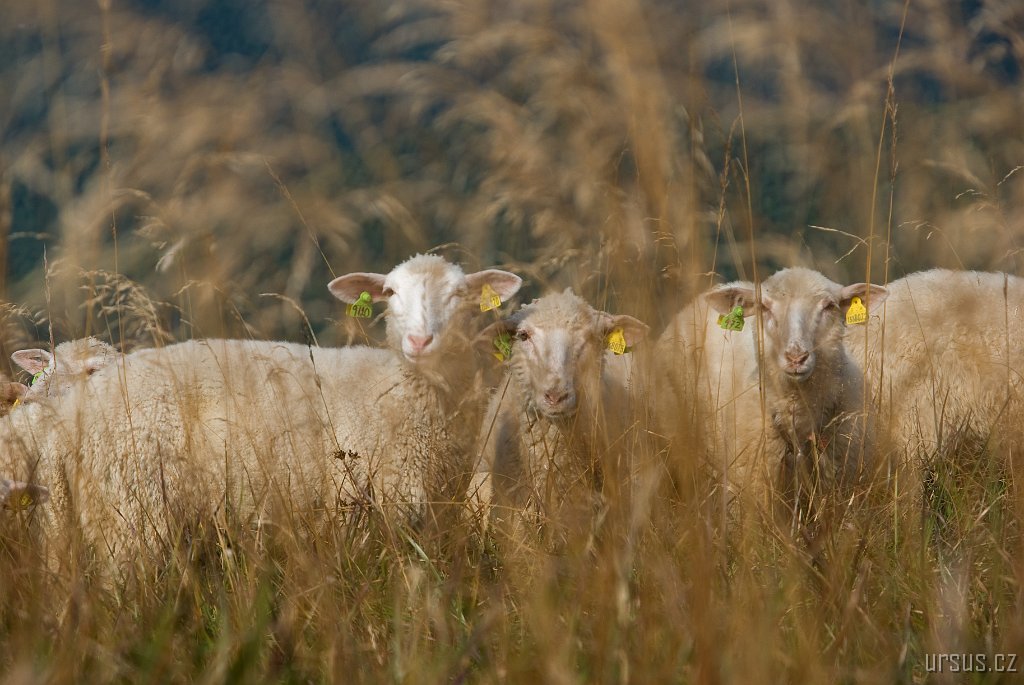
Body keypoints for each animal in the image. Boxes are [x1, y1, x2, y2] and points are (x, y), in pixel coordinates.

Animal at [0, 254, 522, 581]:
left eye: (460, 295)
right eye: (390, 293)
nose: (419, 341)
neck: (407, 388)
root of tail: (68, 417)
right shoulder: (367, 512)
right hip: (130, 518)